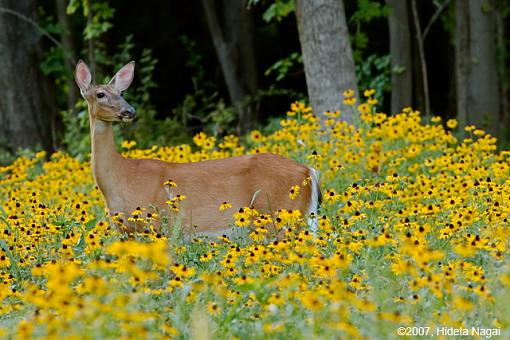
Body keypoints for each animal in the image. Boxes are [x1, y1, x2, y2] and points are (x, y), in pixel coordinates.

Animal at [74, 60, 322, 236]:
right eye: (101, 94)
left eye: (121, 93)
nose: (129, 111)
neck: (120, 178)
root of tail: (308, 171)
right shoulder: (124, 231)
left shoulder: (157, 223)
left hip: (281, 215)